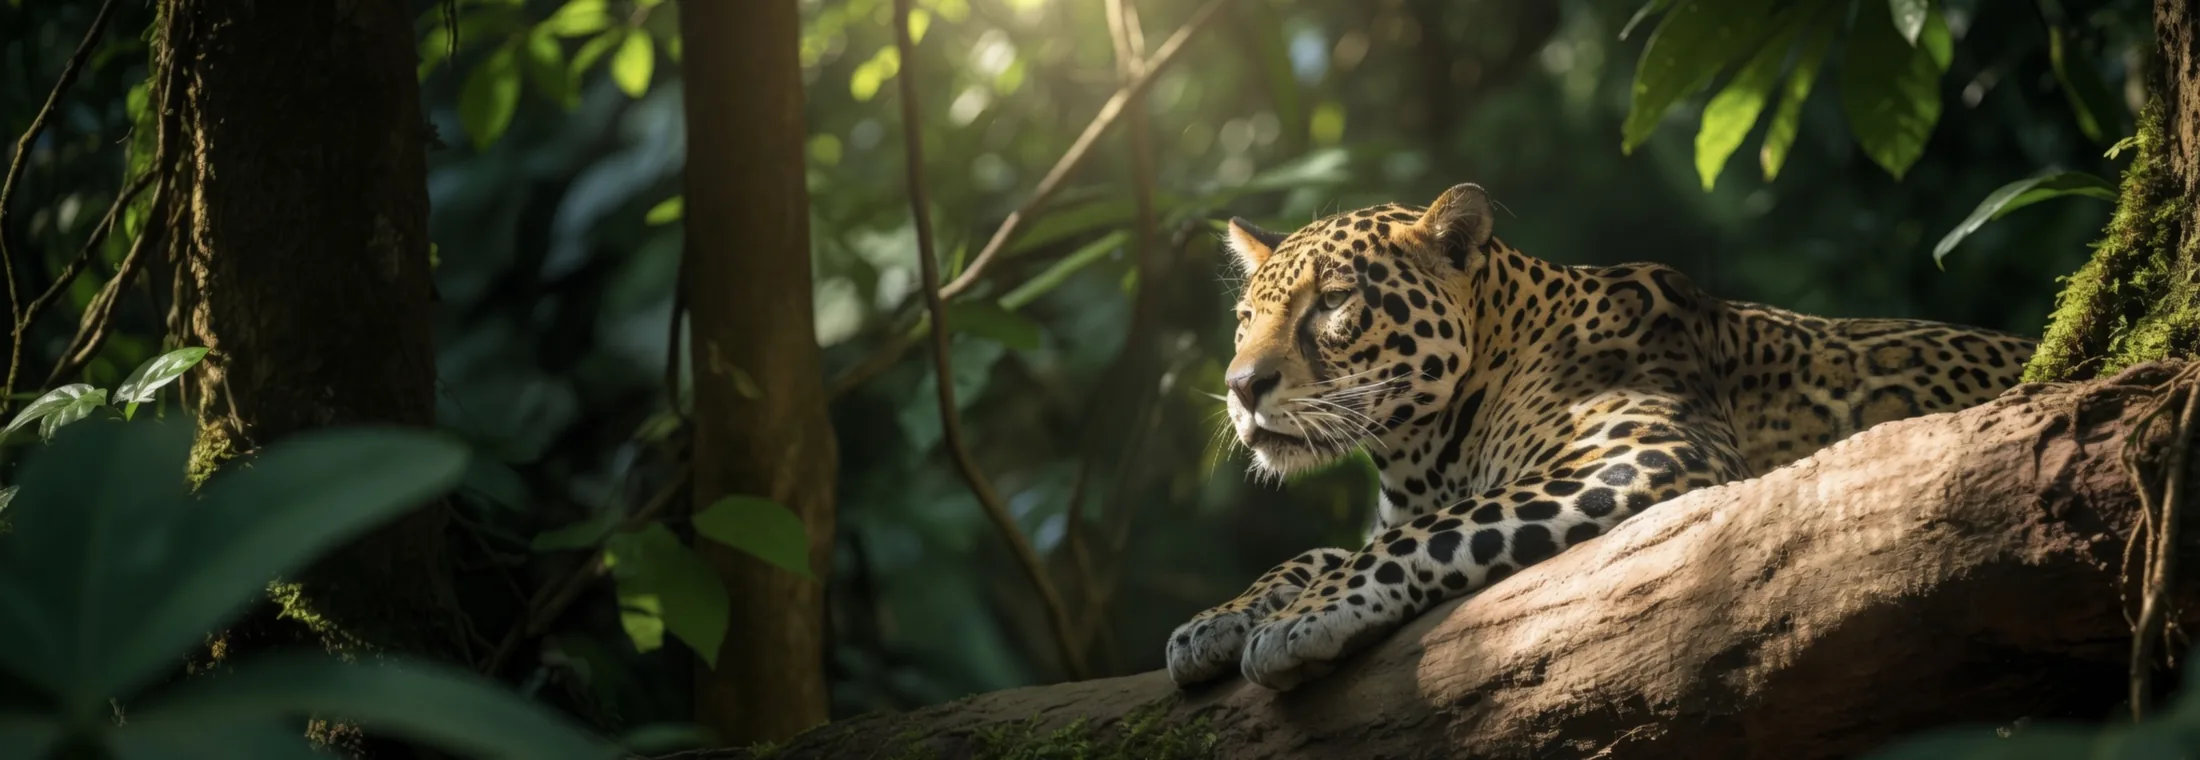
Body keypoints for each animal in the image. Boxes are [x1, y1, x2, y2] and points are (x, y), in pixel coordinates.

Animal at [1167, 182, 2037, 692]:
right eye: (1245, 317)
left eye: (1334, 302)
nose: (1241, 386)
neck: (1419, 455)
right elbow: (1319, 551)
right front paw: (1212, 623)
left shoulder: (1650, 451)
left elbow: (1428, 532)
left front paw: (1299, 620)